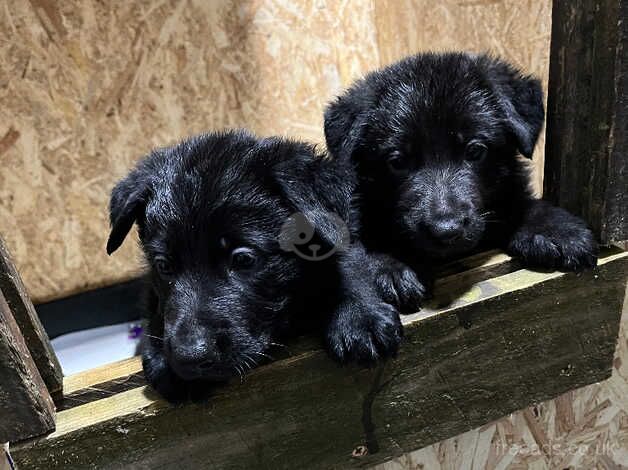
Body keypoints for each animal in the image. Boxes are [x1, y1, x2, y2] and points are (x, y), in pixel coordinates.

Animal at [107, 130, 402, 402]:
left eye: (243, 259)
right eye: (164, 266)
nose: (189, 356)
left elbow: (345, 259)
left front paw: (359, 316)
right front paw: (160, 355)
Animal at [326, 52, 596, 308]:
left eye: (475, 151)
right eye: (398, 162)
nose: (446, 230)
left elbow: (516, 204)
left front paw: (553, 228)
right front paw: (391, 263)